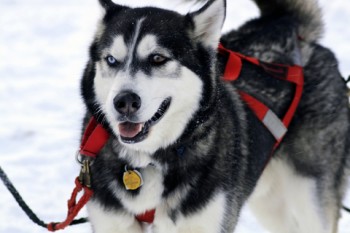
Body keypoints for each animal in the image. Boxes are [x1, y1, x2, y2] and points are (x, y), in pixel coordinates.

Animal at [80, 0, 350, 232]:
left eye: (158, 58)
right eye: (111, 59)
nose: (123, 102)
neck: (148, 160)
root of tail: (288, 26)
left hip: (310, 198)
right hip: (270, 203)